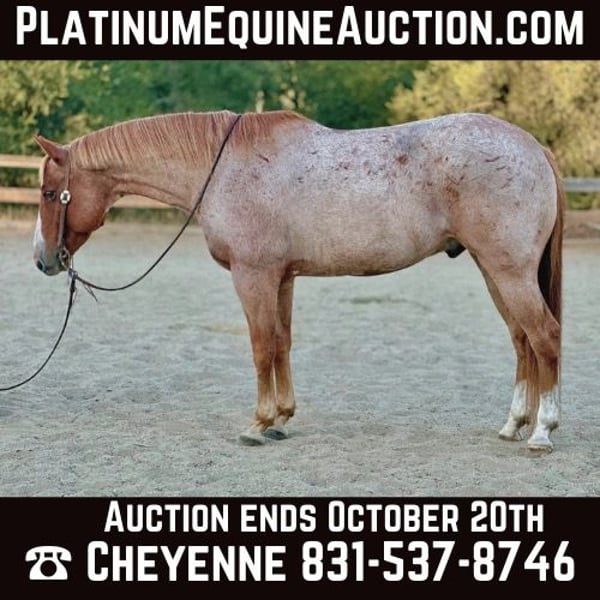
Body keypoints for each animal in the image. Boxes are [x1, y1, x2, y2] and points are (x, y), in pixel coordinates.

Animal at [32, 109, 564, 452]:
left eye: (49, 192)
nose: (43, 260)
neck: (224, 168)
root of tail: (534, 146)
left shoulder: (253, 276)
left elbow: (261, 346)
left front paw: (258, 423)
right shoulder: (281, 278)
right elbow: (282, 343)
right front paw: (282, 420)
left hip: (508, 271)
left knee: (545, 337)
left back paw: (542, 431)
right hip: (494, 271)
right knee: (522, 341)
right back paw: (514, 424)